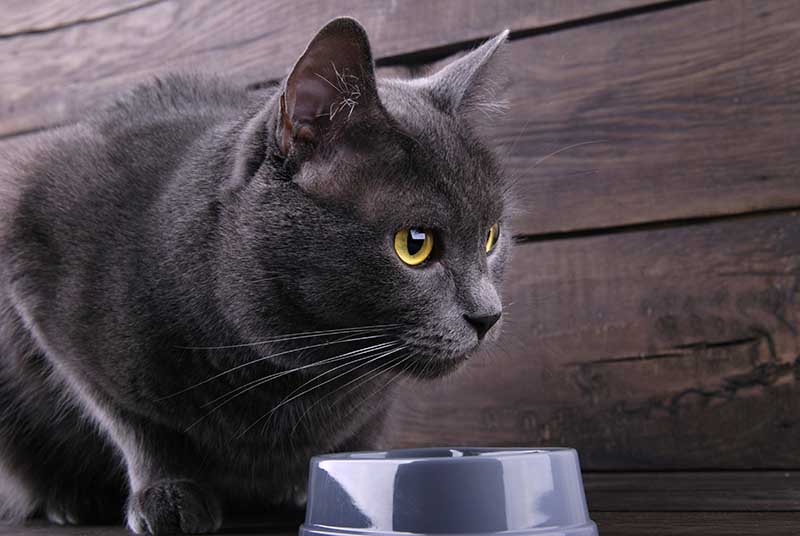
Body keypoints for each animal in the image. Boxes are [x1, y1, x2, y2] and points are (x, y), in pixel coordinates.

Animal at [0, 17, 512, 536]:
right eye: (415, 243)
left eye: (490, 236)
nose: (489, 315)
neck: (287, 378)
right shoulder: (32, 244)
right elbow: (131, 421)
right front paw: (167, 496)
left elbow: (359, 438)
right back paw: (72, 500)